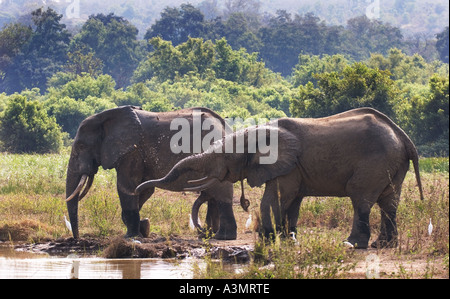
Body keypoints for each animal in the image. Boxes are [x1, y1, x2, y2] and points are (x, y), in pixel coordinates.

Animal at [66, 106, 239, 241]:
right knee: (213, 195)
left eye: (81, 146)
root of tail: (225, 126)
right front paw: (144, 228)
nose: (77, 238)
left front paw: (132, 236)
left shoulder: (131, 151)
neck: (105, 118)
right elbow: (144, 189)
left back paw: (222, 237)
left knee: (220, 193)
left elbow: (126, 187)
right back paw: (208, 235)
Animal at [135, 109, 424, 250]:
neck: (256, 132)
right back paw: (382, 245)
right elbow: (292, 201)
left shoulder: (287, 166)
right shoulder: (294, 168)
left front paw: (266, 239)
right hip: (393, 164)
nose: (139, 187)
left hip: (375, 163)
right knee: (389, 202)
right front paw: (286, 239)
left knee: (361, 198)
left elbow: (275, 197)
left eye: (226, 156)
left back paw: (353, 244)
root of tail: (404, 137)